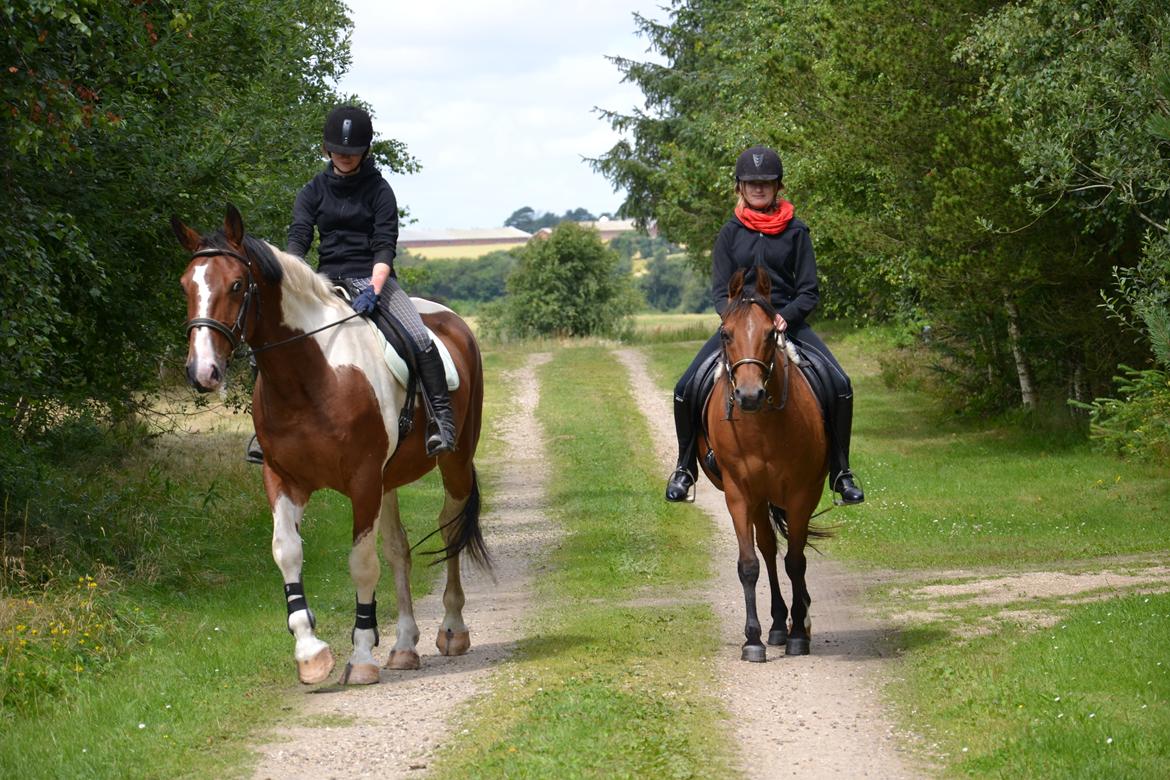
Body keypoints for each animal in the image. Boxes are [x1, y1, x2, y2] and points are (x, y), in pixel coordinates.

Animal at [170, 204, 486, 687]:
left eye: (237, 285)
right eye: (187, 285)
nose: (202, 371)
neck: (309, 376)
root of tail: (452, 321)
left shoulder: (362, 481)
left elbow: (362, 563)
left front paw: (361, 656)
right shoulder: (283, 478)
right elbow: (287, 551)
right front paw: (311, 654)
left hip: (454, 462)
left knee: (449, 528)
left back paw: (452, 630)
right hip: (390, 480)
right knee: (399, 549)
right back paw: (404, 646)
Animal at [697, 270, 828, 664]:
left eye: (772, 333)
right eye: (726, 334)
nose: (749, 396)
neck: (762, 427)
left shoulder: (802, 492)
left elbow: (796, 561)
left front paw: (799, 633)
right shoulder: (740, 494)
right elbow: (749, 564)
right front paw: (752, 639)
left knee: (787, 551)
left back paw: (795, 622)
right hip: (758, 499)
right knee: (768, 549)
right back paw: (776, 625)